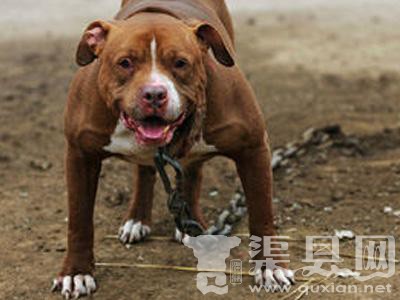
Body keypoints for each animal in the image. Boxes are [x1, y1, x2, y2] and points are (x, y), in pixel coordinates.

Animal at [53, 0, 296, 298]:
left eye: (180, 63)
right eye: (125, 63)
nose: (154, 94)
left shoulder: (254, 148)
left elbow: (262, 214)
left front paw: (270, 268)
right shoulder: (79, 155)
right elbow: (79, 221)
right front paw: (76, 272)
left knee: (192, 171)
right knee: (145, 171)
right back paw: (137, 219)